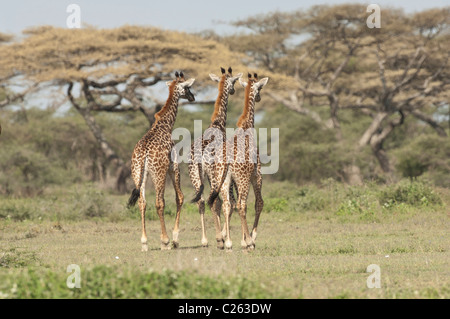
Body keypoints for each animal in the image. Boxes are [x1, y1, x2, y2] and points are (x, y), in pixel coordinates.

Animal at [127, 72, 196, 252]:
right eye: (187, 87)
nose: (193, 97)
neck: (166, 125)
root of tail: (143, 153)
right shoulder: (174, 166)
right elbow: (180, 197)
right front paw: (175, 239)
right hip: (158, 174)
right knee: (159, 202)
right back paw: (164, 241)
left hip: (138, 174)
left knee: (142, 202)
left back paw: (144, 242)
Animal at [187, 66, 241, 249]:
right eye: (234, 81)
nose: (233, 90)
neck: (218, 124)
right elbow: (221, 203)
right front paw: (223, 237)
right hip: (212, 175)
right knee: (215, 201)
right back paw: (219, 239)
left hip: (194, 175)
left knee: (202, 201)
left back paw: (204, 241)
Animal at [221, 73, 268, 252]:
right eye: (260, 88)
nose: (260, 97)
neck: (247, 126)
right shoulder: (256, 174)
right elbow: (259, 203)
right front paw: (250, 238)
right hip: (243, 179)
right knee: (241, 205)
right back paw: (249, 242)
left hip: (225, 180)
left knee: (227, 204)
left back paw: (228, 243)